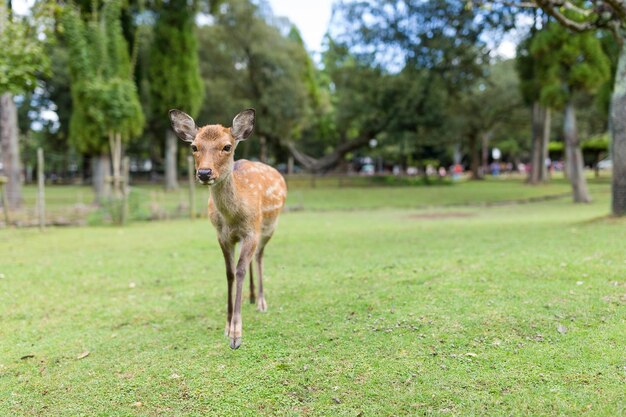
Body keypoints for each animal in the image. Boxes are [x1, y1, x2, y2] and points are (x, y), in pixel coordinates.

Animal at [168, 107, 286, 348]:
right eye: (194, 146)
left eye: (227, 146)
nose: (204, 173)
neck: (233, 217)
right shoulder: (222, 236)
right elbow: (230, 273)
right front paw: (226, 326)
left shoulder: (252, 231)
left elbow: (240, 270)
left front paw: (236, 335)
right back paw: (252, 297)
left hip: (269, 226)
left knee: (259, 257)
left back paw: (261, 302)